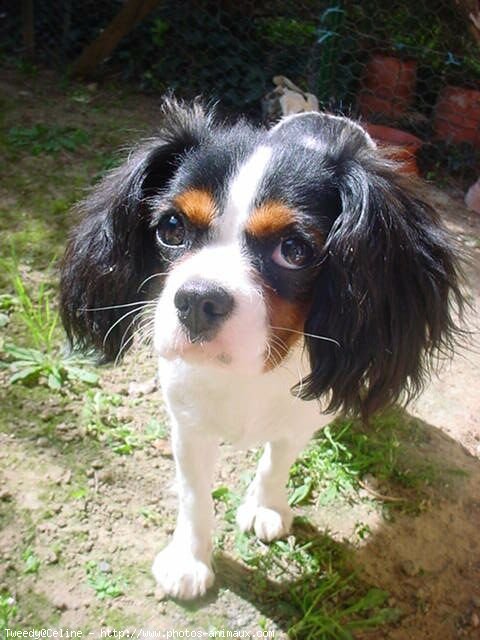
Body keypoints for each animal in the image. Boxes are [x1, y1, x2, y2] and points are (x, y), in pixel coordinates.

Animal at [60, 100, 462, 600]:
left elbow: (277, 461)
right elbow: (194, 494)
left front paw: (265, 506)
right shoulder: (188, 424)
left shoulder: (299, 419)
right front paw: (189, 559)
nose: (197, 299)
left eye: (294, 250)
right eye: (171, 228)